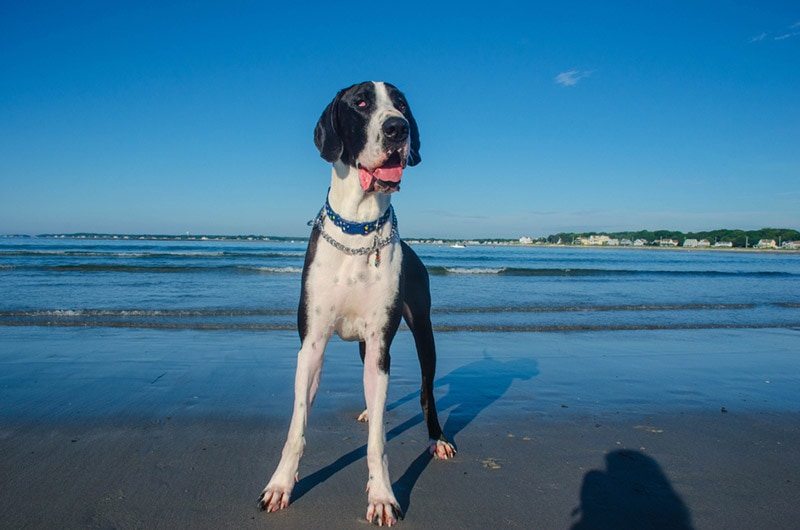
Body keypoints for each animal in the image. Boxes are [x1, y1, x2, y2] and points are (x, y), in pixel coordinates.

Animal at [258, 82, 454, 524]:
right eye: (361, 103)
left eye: (401, 105)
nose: (398, 129)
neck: (359, 229)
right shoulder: (312, 344)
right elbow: (297, 426)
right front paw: (280, 484)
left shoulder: (381, 343)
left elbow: (378, 441)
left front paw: (381, 495)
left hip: (423, 330)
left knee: (427, 390)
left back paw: (436, 438)